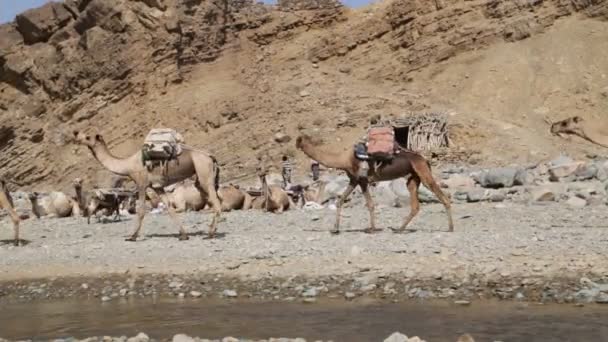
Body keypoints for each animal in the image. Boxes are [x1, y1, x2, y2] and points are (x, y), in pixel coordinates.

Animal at [72, 131, 222, 240]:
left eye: (87, 136)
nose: (75, 134)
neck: (128, 165)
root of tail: (211, 157)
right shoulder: (157, 187)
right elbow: (169, 208)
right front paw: (183, 235)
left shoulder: (142, 184)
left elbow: (141, 210)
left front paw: (132, 236)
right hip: (201, 177)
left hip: (204, 172)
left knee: (216, 203)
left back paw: (211, 234)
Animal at [294, 135, 452, 234]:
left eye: (299, 140)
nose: (295, 144)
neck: (343, 159)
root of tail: (425, 160)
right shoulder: (354, 180)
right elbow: (340, 201)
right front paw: (335, 229)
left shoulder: (362, 180)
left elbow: (370, 204)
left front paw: (372, 229)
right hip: (413, 178)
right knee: (415, 205)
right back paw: (399, 229)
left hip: (423, 172)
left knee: (440, 194)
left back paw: (450, 228)